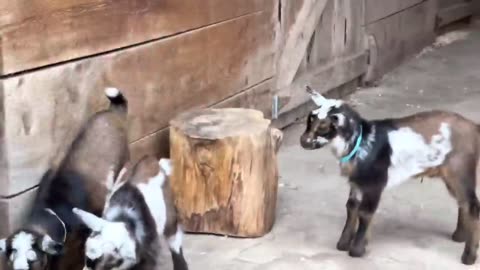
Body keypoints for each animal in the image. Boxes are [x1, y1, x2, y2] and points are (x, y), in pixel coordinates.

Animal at [300, 86, 480, 264]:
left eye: (324, 126)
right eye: (310, 118)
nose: (304, 141)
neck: (361, 141)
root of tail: (473, 127)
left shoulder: (374, 183)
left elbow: (365, 212)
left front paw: (357, 250)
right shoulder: (356, 183)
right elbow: (351, 207)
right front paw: (343, 244)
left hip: (460, 168)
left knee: (472, 207)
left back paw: (468, 257)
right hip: (451, 174)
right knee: (463, 202)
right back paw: (459, 236)